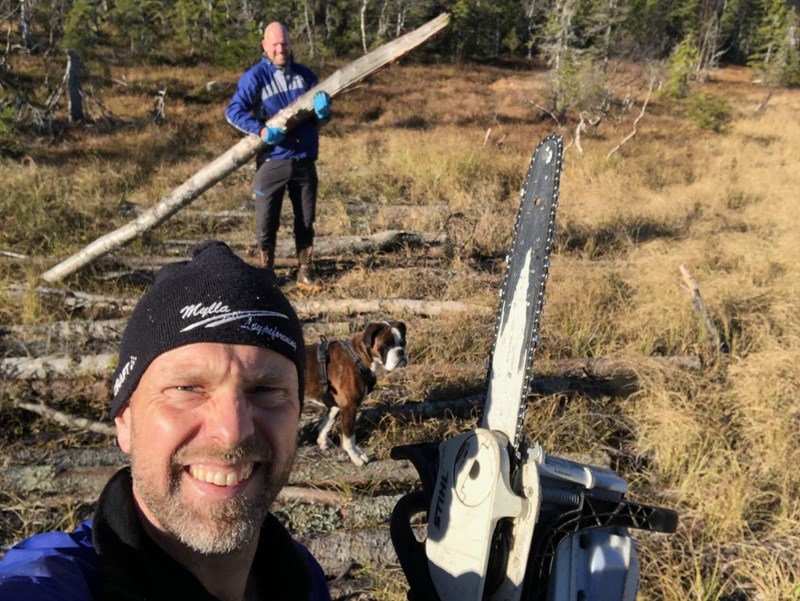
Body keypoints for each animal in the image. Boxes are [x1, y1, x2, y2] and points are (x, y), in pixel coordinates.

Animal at [304, 318, 410, 464]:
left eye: (403, 343)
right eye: (386, 345)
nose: (400, 351)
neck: (359, 356)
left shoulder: (337, 405)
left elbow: (327, 423)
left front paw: (322, 441)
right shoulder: (349, 406)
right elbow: (349, 438)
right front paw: (355, 456)